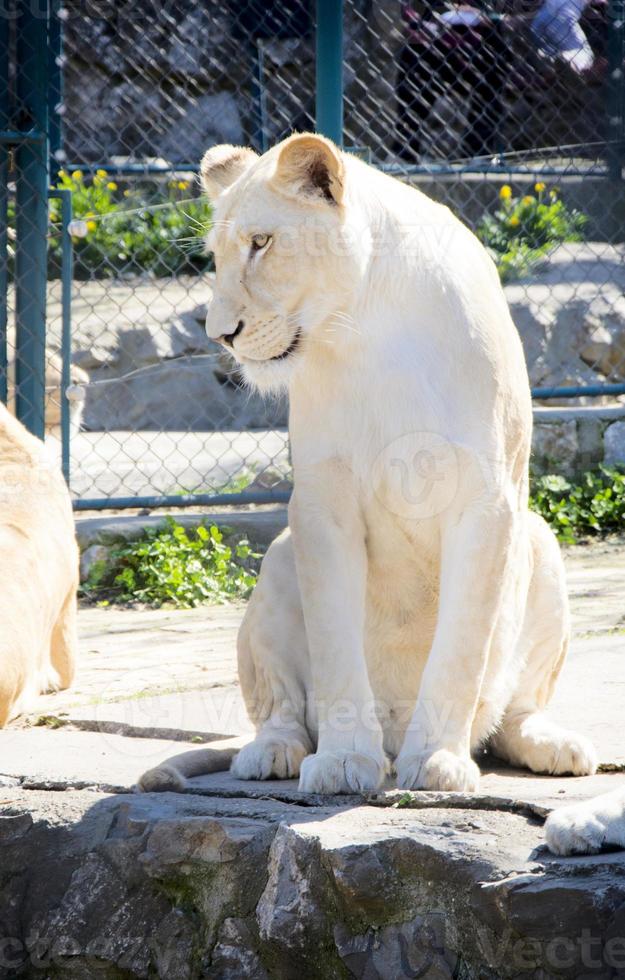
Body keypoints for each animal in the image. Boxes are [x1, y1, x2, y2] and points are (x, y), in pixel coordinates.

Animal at [140, 134, 596, 796]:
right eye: (217, 256)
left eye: (262, 242)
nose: (221, 334)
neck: (365, 326)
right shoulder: (321, 504)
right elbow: (334, 647)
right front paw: (342, 761)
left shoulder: (486, 500)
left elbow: (462, 646)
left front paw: (436, 760)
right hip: (278, 560)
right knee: (280, 708)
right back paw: (273, 753)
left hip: (541, 545)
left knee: (514, 715)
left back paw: (552, 744)